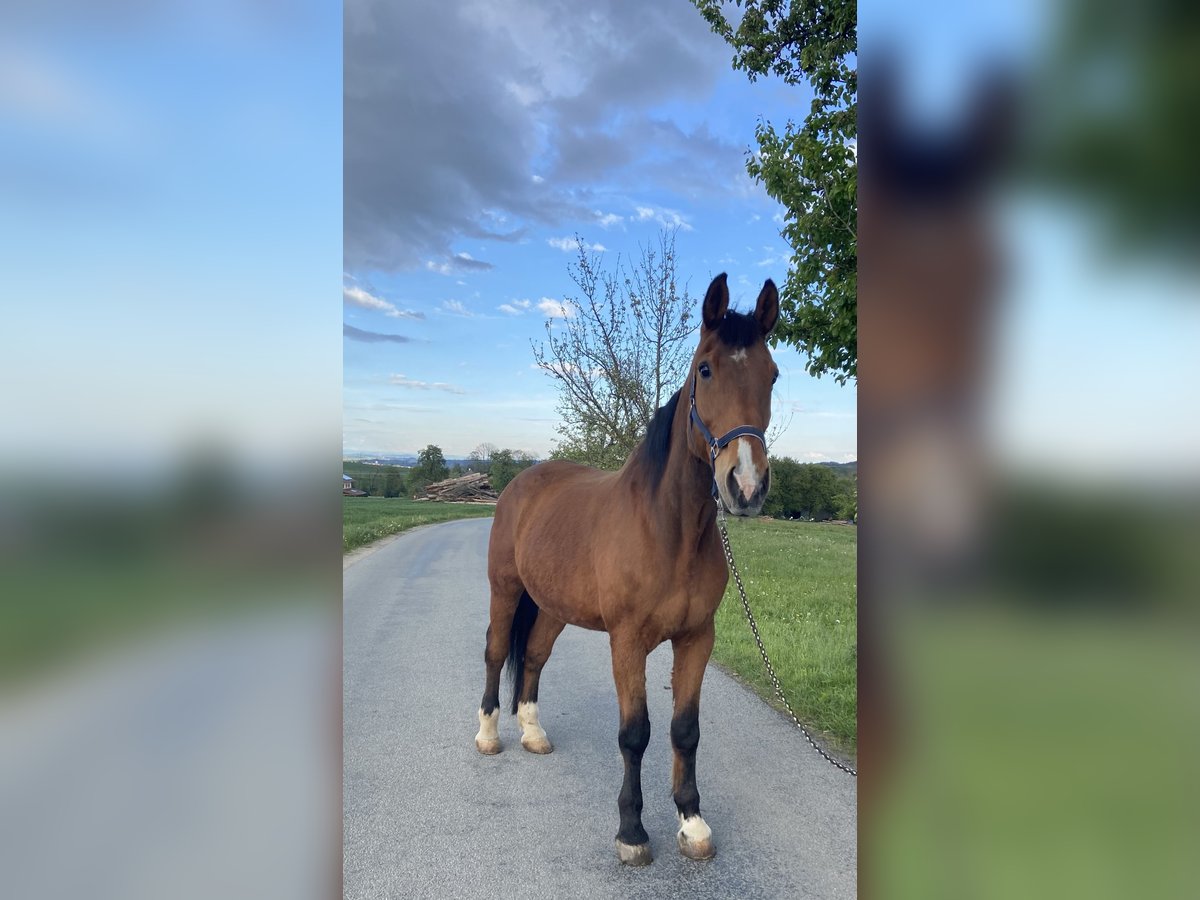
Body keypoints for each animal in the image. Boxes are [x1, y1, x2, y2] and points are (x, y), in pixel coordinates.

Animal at [470, 273, 777, 868]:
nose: (745, 485)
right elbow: (636, 734)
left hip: (552, 606)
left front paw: (692, 823)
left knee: (534, 656)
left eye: (772, 374)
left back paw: (533, 733)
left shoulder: (697, 638)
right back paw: (490, 734)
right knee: (497, 652)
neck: (670, 531)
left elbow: (685, 730)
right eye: (705, 369)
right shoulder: (627, 640)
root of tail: (522, 481)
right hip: (505, 589)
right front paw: (632, 832)